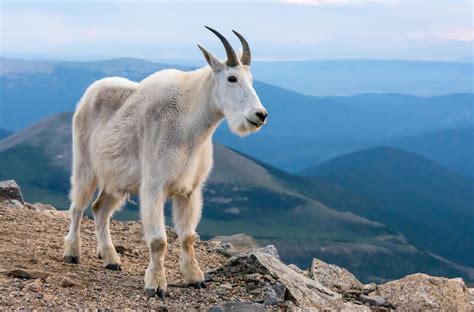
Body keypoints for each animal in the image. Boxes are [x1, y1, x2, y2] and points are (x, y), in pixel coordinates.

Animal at [64, 27, 266, 300]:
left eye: (252, 79)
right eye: (232, 78)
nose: (260, 115)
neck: (190, 128)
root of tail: (90, 93)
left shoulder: (190, 191)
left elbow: (188, 237)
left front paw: (195, 278)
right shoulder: (154, 187)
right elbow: (159, 241)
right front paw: (156, 285)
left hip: (117, 180)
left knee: (99, 209)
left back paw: (111, 259)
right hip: (85, 165)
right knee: (77, 206)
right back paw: (72, 253)